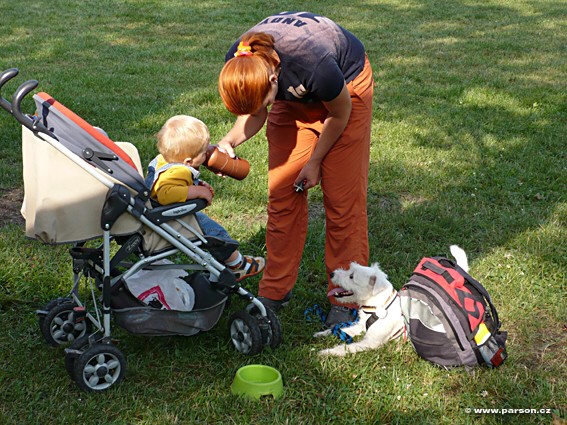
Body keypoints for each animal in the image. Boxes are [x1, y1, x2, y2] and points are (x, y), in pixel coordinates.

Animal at [318, 245, 468, 354]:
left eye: (351, 276)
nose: (332, 274)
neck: (377, 308)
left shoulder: (370, 343)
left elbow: (347, 348)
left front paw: (327, 352)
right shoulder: (361, 327)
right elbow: (341, 329)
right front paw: (321, 334)